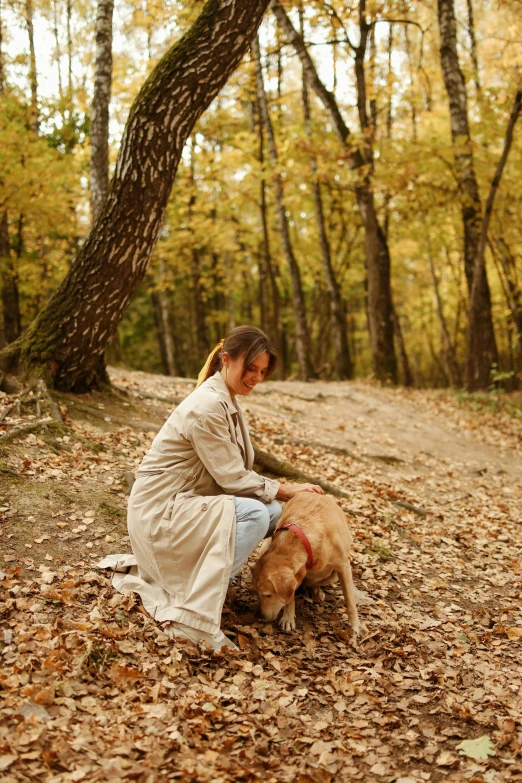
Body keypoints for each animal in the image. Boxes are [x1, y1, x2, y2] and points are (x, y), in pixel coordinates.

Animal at [251, 496, 358, 636]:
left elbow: (350, 600)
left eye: (267, 595)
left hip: (334, 575)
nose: (260, 616)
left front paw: (356, 626)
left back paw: (316, 590)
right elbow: (290, 596)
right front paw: (288, 617)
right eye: (257, 592)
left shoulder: (344, 566)